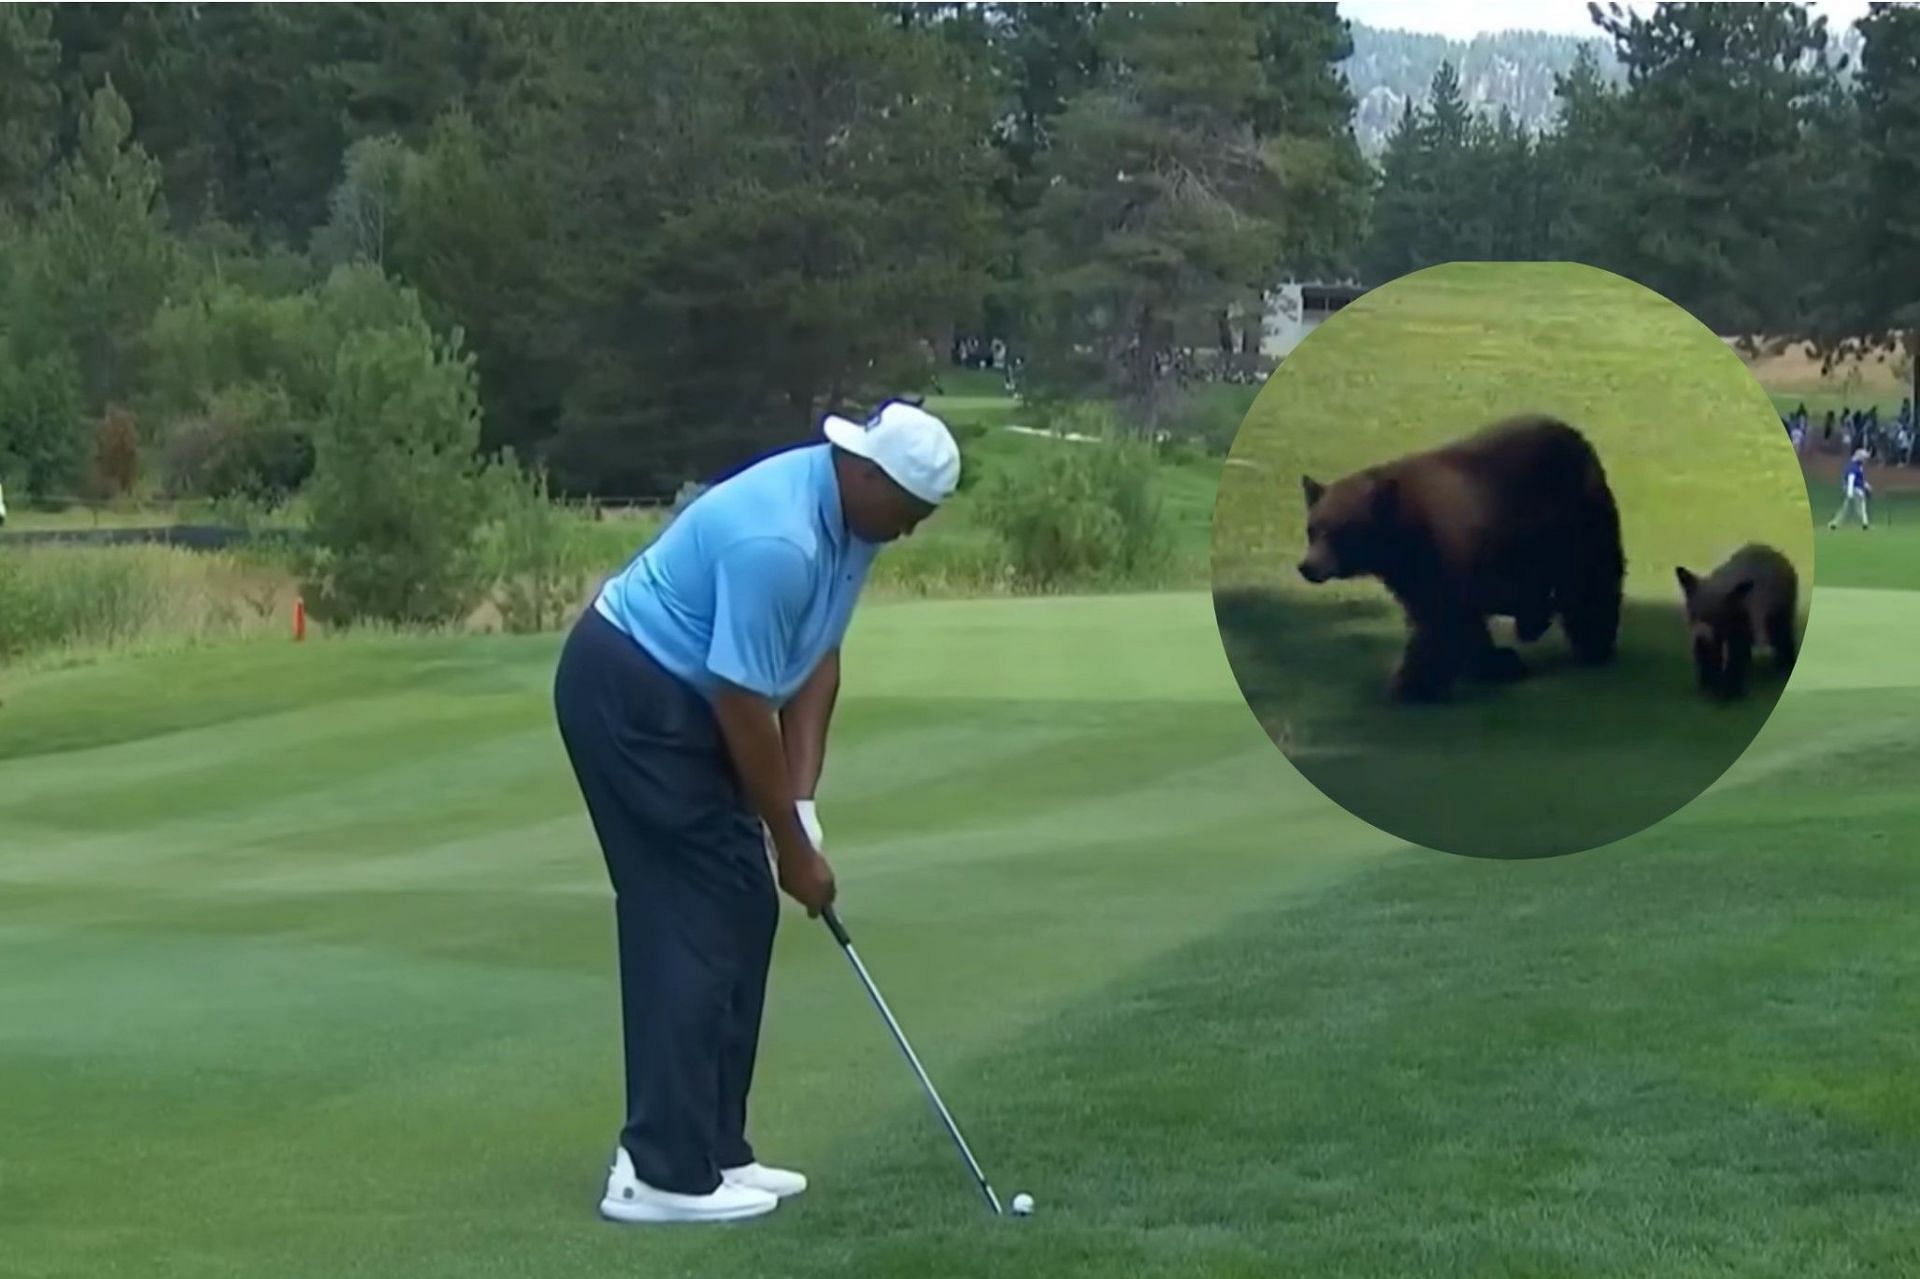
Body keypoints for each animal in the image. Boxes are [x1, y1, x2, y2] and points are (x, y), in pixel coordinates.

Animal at [1297, 412, 1628, 702]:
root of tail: (1576, 436)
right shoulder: (1413, 572)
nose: (1307, 567)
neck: (1404, 532)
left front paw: (1411, 686)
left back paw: (1592, 642)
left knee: (1591, 583)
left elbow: (1441, 621)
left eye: (1339, 533)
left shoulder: (1442, 552)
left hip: (1578, 523)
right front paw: (1491, 664)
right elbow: (1450, 618)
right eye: (1312, 529)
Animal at [1674, 537, 1789, 699]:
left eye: (1716, 617)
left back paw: (1784, 664)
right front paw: (1709, 682)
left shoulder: (1739, 618)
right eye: (1693, 613)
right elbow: (1711, 653)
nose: (1701, 636)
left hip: (1780, 606)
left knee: (1782, 633)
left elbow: (1736, 652)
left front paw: (1729, 691)